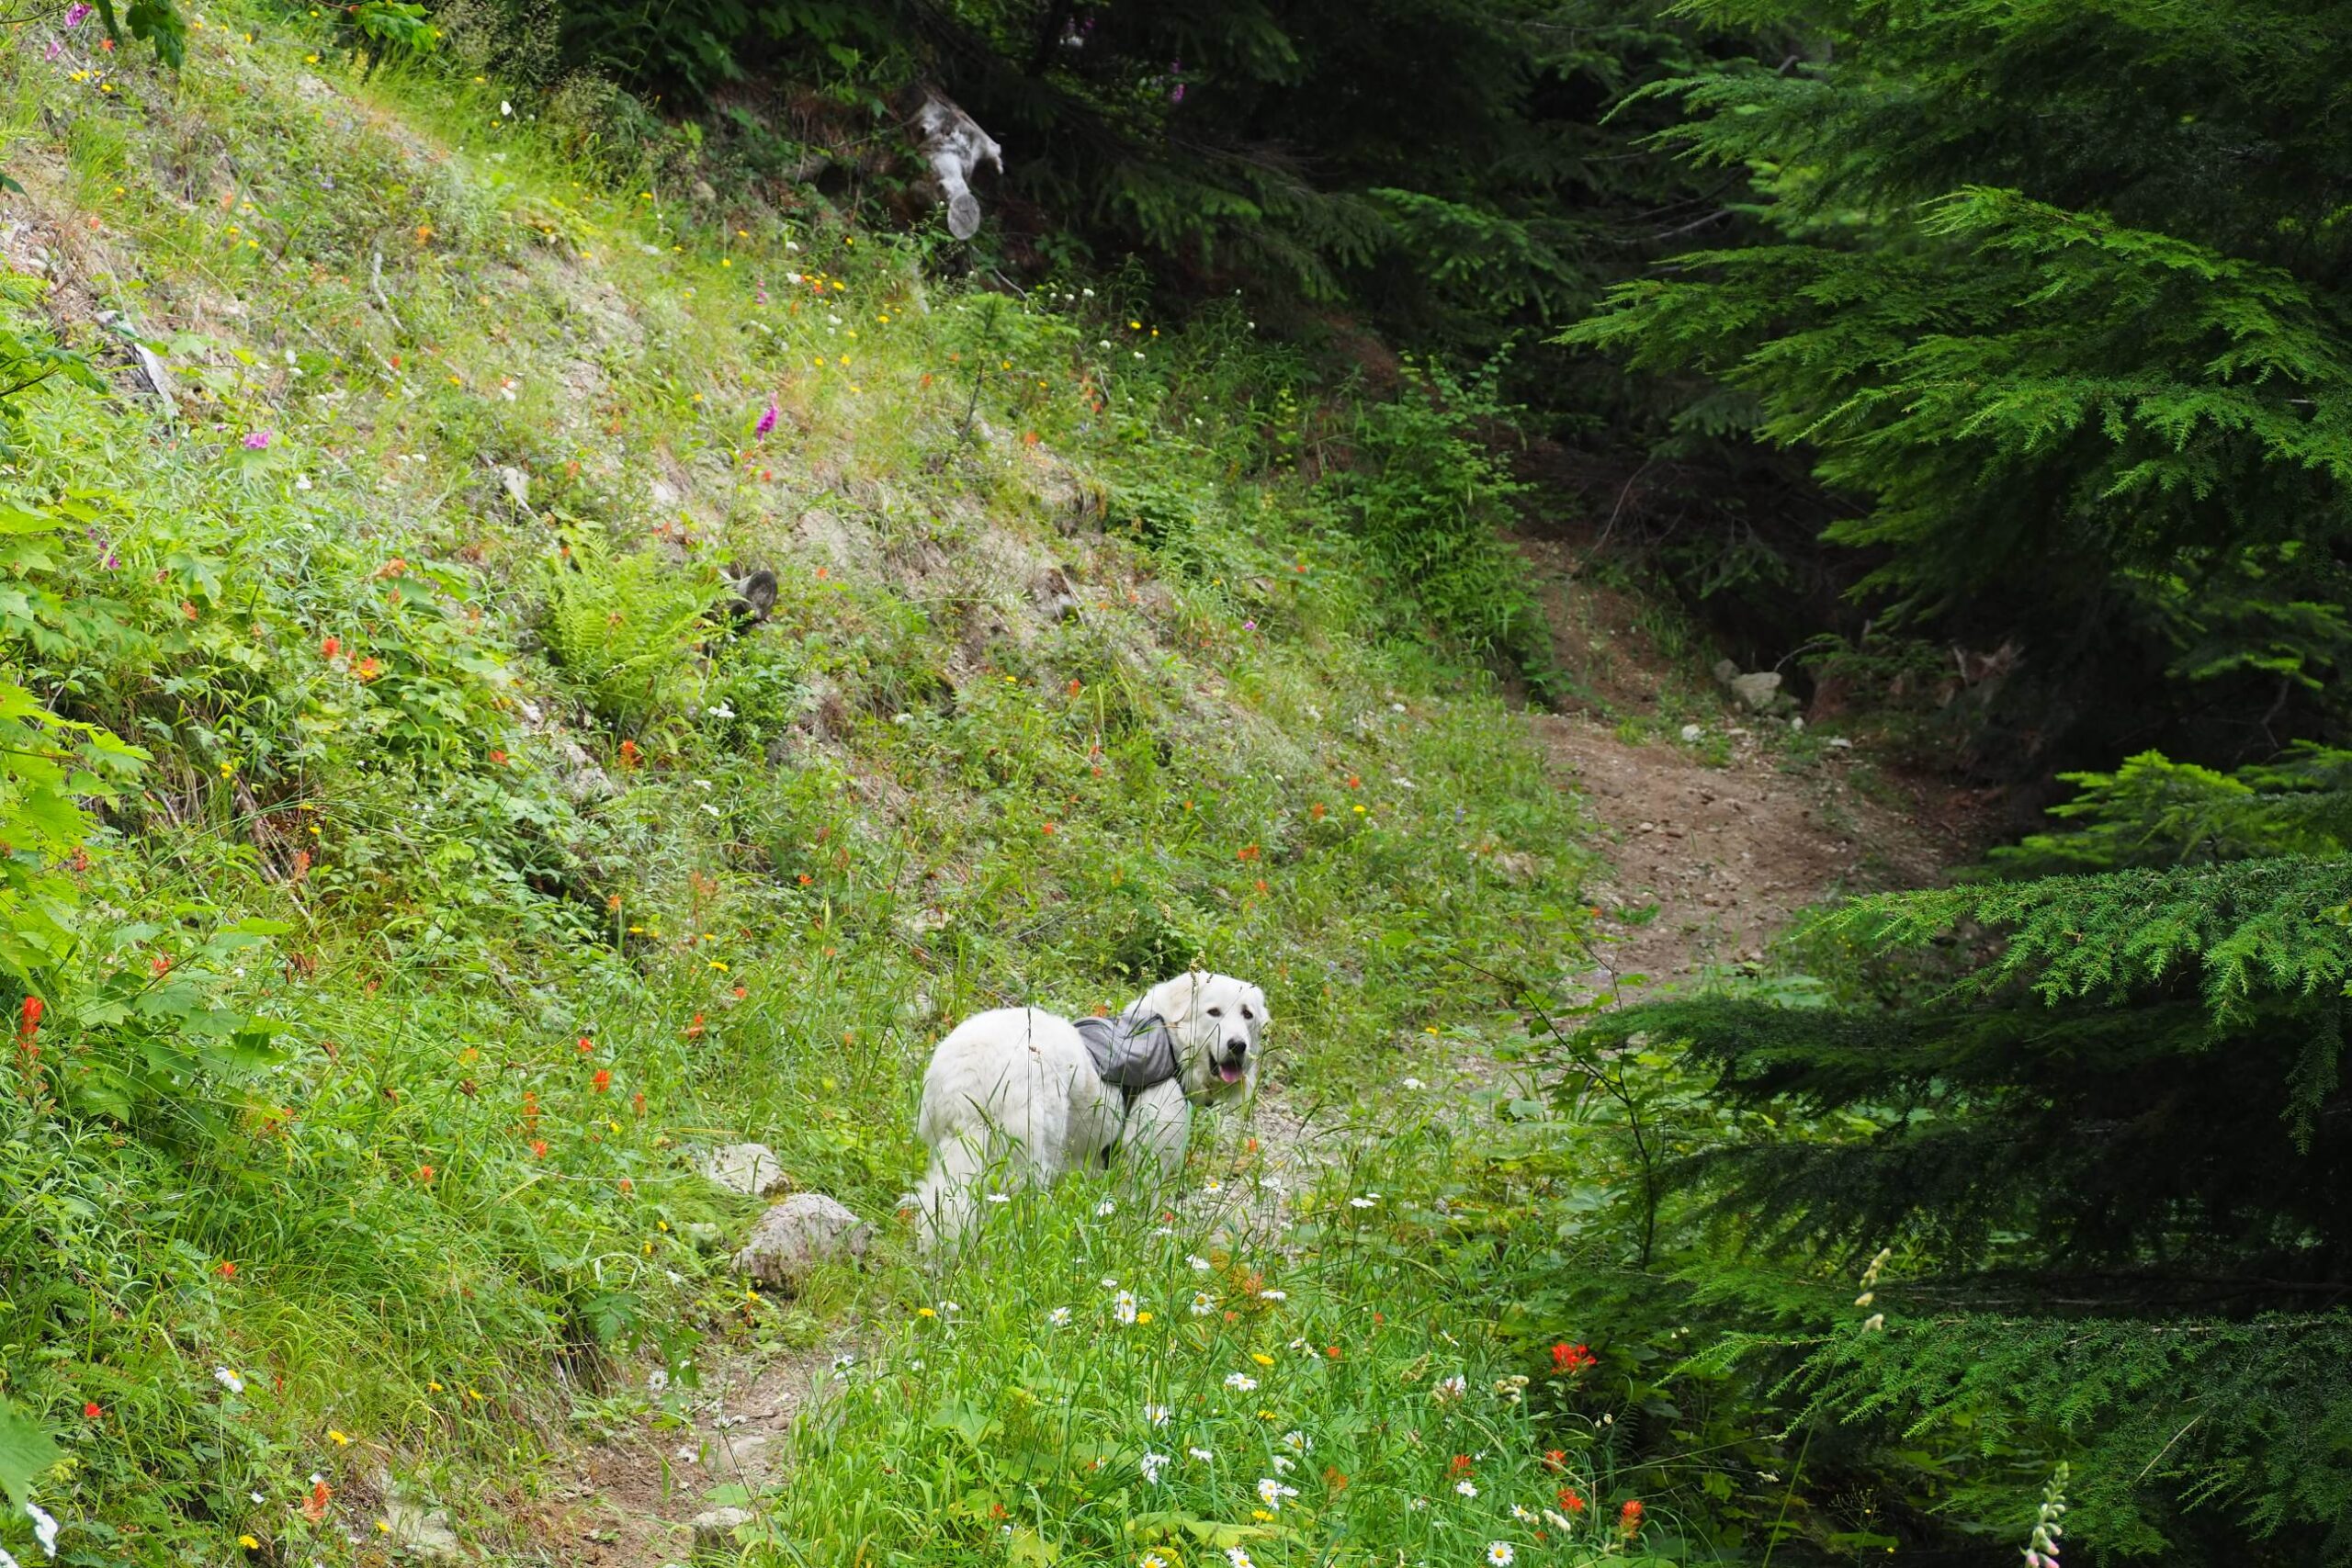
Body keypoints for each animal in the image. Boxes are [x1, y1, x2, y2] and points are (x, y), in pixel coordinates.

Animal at [908, 968, 1270, 1250]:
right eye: (1214, 1012)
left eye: (1247, 1015)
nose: (1238, 1046)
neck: (1171, 1040)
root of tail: (972, 1063)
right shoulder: (1145, 1160)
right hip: (1029, 1156)